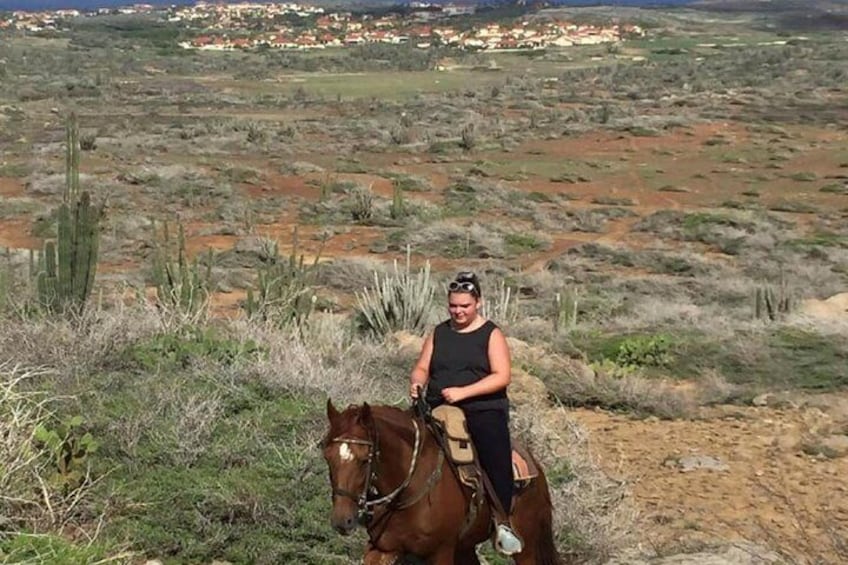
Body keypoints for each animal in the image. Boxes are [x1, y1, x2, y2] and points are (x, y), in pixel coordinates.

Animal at [322, 398, 564, 560]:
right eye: (327, 457)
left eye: (365, 460)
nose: (343, 521)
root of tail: (535, 465)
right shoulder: (382, 548)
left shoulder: (441, 552)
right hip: (465, 547)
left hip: (528, 545)